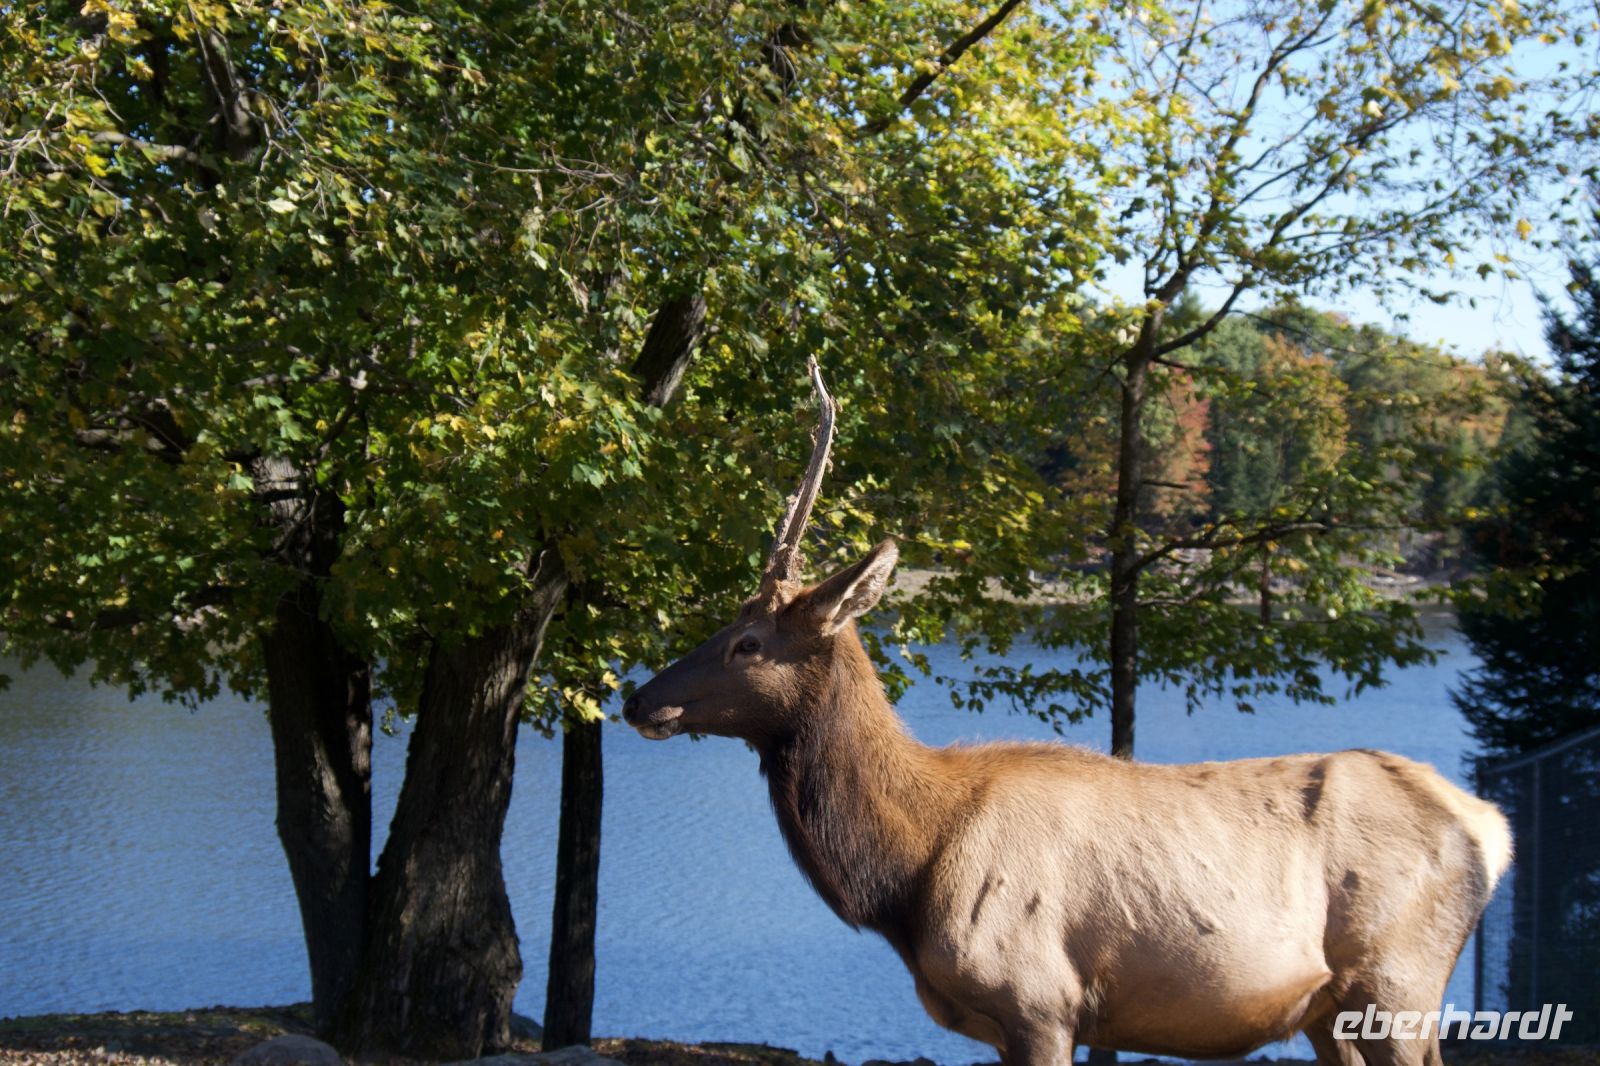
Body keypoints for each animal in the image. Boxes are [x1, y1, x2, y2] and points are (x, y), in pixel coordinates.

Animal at [622, 358, 1513, 1066]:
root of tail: (1489, 827)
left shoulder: (1038, 1001)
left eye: (746, 642)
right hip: (1336, 1011)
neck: (907, 877)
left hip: (1399, 982)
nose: (639, 696)